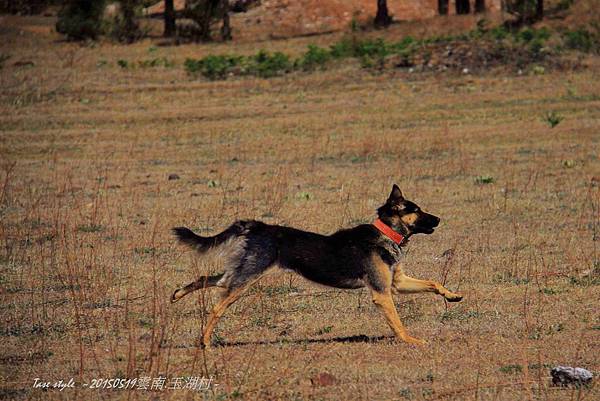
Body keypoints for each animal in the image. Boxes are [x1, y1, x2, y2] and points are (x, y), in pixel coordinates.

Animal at [171, 184, 462, 344]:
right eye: (416, 210)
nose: (439, 219)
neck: (386, 234)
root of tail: (257, 226)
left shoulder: (397, 283)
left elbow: (434, 282)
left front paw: (452, 295)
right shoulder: (382, 293)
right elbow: (397, 322)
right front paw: (411, 340)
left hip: (241, 271)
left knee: (207, 279)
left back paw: (176, 295)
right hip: (247, 277)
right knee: (216, 307)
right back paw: (205, 341)